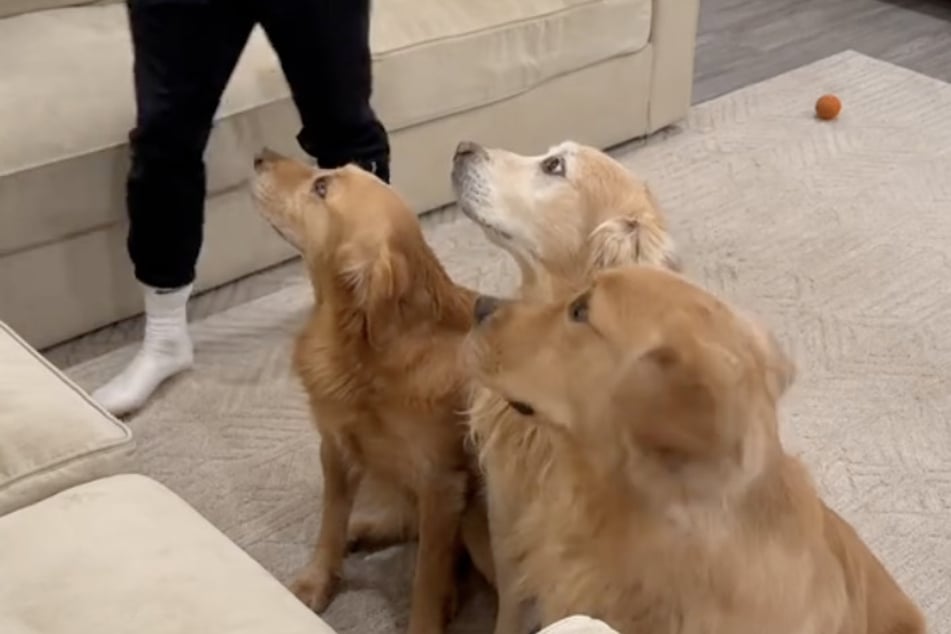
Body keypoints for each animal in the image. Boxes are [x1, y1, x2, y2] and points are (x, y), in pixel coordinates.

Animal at [249, 149, 488, 632]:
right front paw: (318, 579)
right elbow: (330, 522)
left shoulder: (442, 485)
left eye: (321, 187)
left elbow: (426, 578)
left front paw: (427, 617)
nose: (261, 156)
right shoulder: (336, 447)